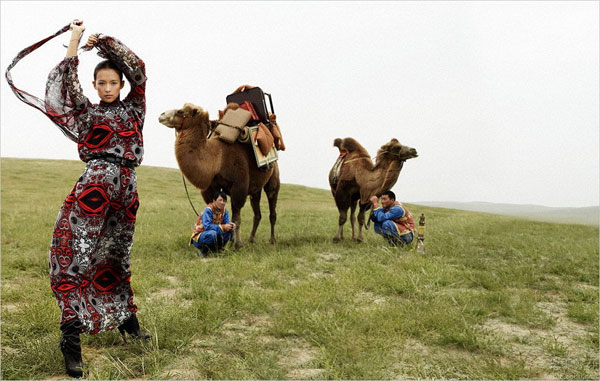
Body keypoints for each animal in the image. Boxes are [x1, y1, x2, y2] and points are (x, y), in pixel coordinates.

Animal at [159, 102, 282, 248]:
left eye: (180, 111)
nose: (161, 115)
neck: (217, 160)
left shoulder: (239, 187)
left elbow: (236, 219)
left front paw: (237, 244)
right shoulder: (210, 188)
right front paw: (227, 242)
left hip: (273, 178)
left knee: (272, 209)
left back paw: (272, 240)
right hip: (255, 188)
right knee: (257, 213)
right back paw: (251, 239)